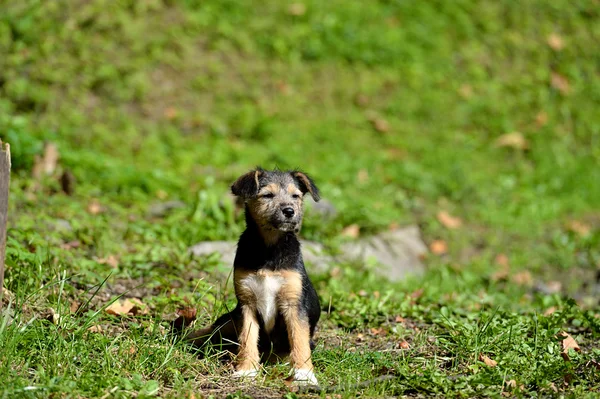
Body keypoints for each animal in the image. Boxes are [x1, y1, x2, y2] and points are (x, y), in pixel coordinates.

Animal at [190, 168, 324, 388]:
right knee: (212, 329)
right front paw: (247, 370)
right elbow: (247, 338)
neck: (269, 250)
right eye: (267, 195)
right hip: (231, 317)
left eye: (296, 196)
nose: (289, 211)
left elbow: (299, 340)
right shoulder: (247, 304)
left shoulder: (294, 305)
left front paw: (304, 374)